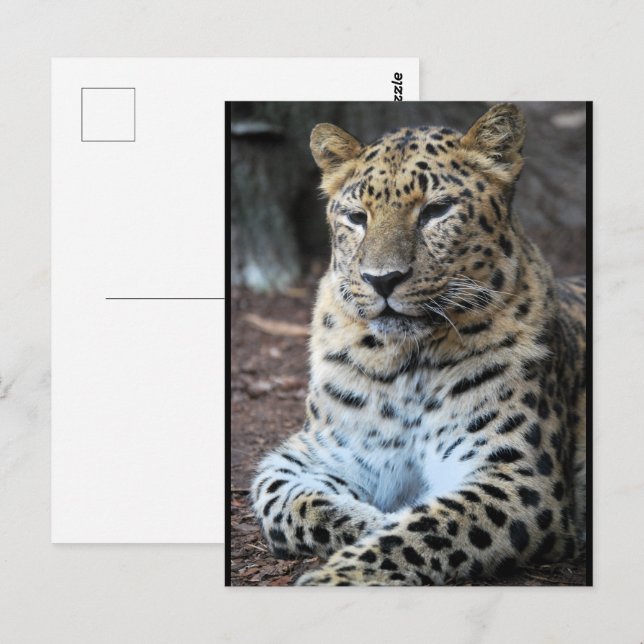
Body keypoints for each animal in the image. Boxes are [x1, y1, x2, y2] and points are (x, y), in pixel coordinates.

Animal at [250, 103, 587, 586]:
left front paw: (336, 578)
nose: (382, 279)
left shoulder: (520, 476)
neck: (405, 363)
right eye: (357, 217)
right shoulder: (313, 453)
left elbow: (427, 529)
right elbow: (284, 502)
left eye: (436, 210)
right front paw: (370, 520)